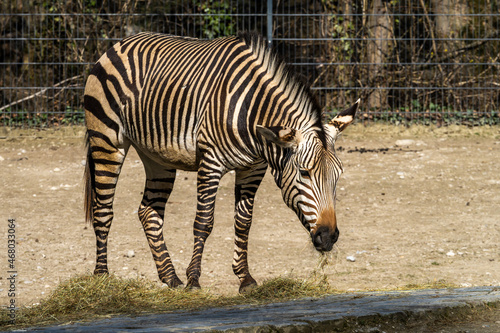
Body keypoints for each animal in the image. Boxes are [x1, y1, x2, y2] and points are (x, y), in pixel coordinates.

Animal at [85, 31, 360, 290]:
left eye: (338, 175)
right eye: (304, 173)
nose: (328, 237)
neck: (252, 114)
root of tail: (120, 43)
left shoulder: (253, 168)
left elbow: (243, 222)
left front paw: (245, 278)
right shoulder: (210, 162)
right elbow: (204, 222)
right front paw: (194, 280)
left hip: (158, 157)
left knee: (148, 211)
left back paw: (170, 277)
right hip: (106, 140)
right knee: (103, 208)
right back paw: (102, 276)